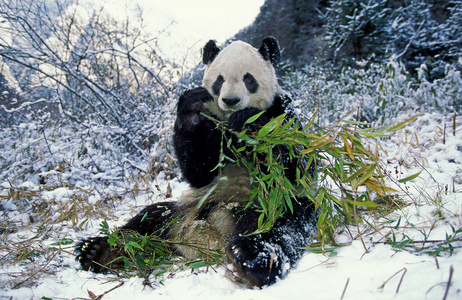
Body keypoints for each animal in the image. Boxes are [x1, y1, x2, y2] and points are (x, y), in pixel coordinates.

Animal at [76, 37, 318, 288]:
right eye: (220, 80)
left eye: (248, 79)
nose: (231, 101)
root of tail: (215, 237)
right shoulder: (212, 130)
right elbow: (200, 169)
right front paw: (192, 106)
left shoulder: (283, 113)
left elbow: (296, 168)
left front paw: (250, 123)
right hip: (185, 210)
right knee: (149, 218)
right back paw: (99, 251)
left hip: (270, 207)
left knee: (287, 226)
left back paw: (251, 259)